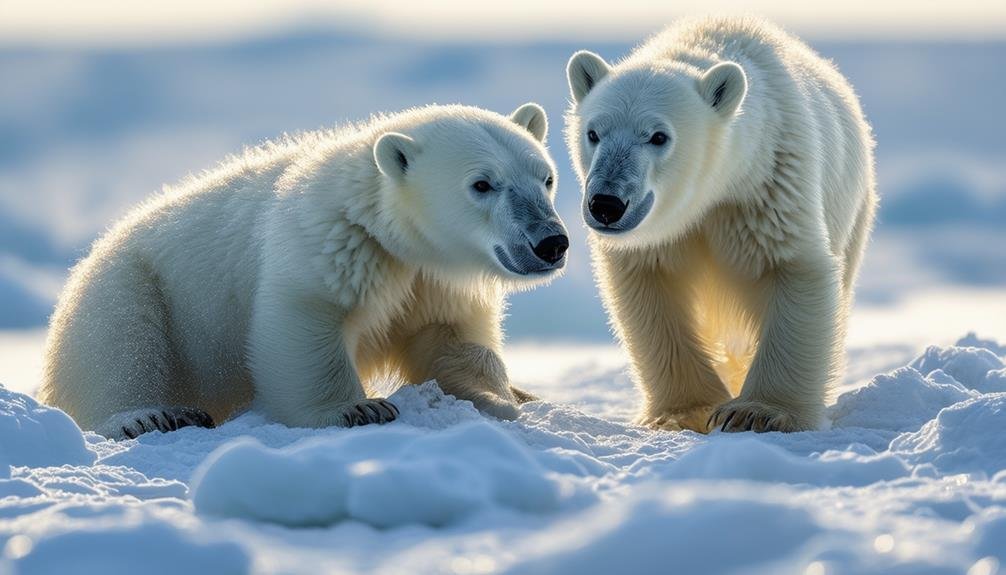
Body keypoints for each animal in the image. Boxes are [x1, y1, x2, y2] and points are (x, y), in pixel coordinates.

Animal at [39, 103, 571, 438]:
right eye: (482, 184)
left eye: (546, 177)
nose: (551, 242)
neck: (385, 227)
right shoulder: (326, 241)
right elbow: (306, 319)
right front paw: (359, 407)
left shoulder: (433, 279)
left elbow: (450, 339)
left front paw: (503, 396)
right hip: (130, 285)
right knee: (121, 345)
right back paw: (147, 416)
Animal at [571, 16, 877, 430]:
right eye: (593, 132)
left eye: (658, 136)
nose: (606, 204)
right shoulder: (659, 238)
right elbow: (653, 295)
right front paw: (684, 412)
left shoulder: (766, 188)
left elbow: (792, 270)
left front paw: (756, 412)